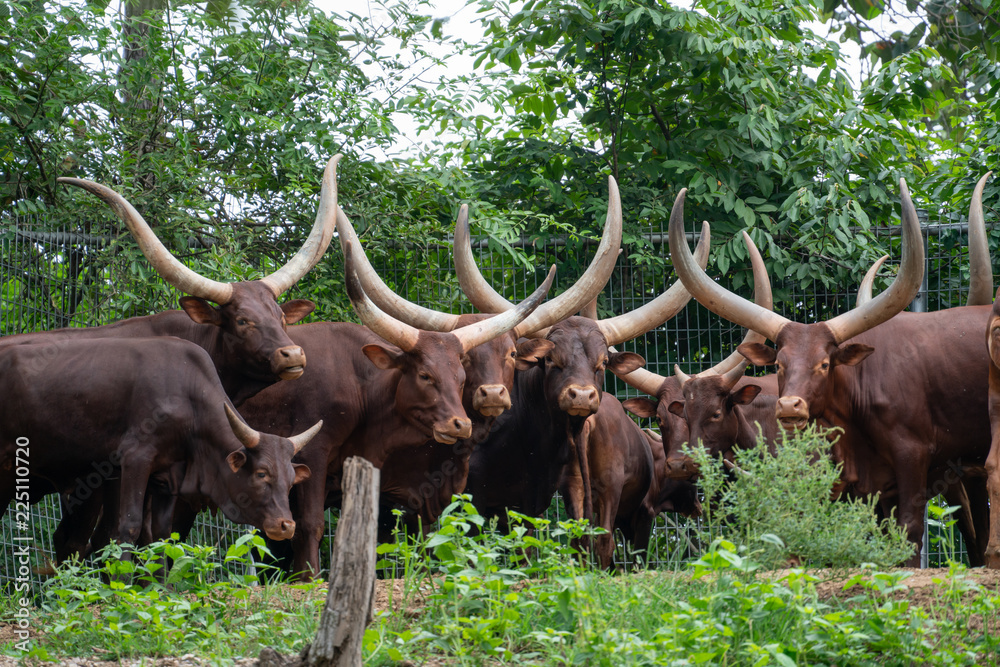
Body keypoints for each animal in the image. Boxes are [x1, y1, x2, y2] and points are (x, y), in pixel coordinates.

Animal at [0, 336, 320, 544]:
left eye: (291, 480)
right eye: (262, 473)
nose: (286, 525)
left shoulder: (167, 477)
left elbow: (162, 534)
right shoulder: (136, 459)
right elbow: (129, 527)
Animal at [668, 175, 996, 568]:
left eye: (825, 364)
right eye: (779, 363)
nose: (789, 406)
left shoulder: (912, 459)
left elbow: (908, 535)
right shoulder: (870, 487)